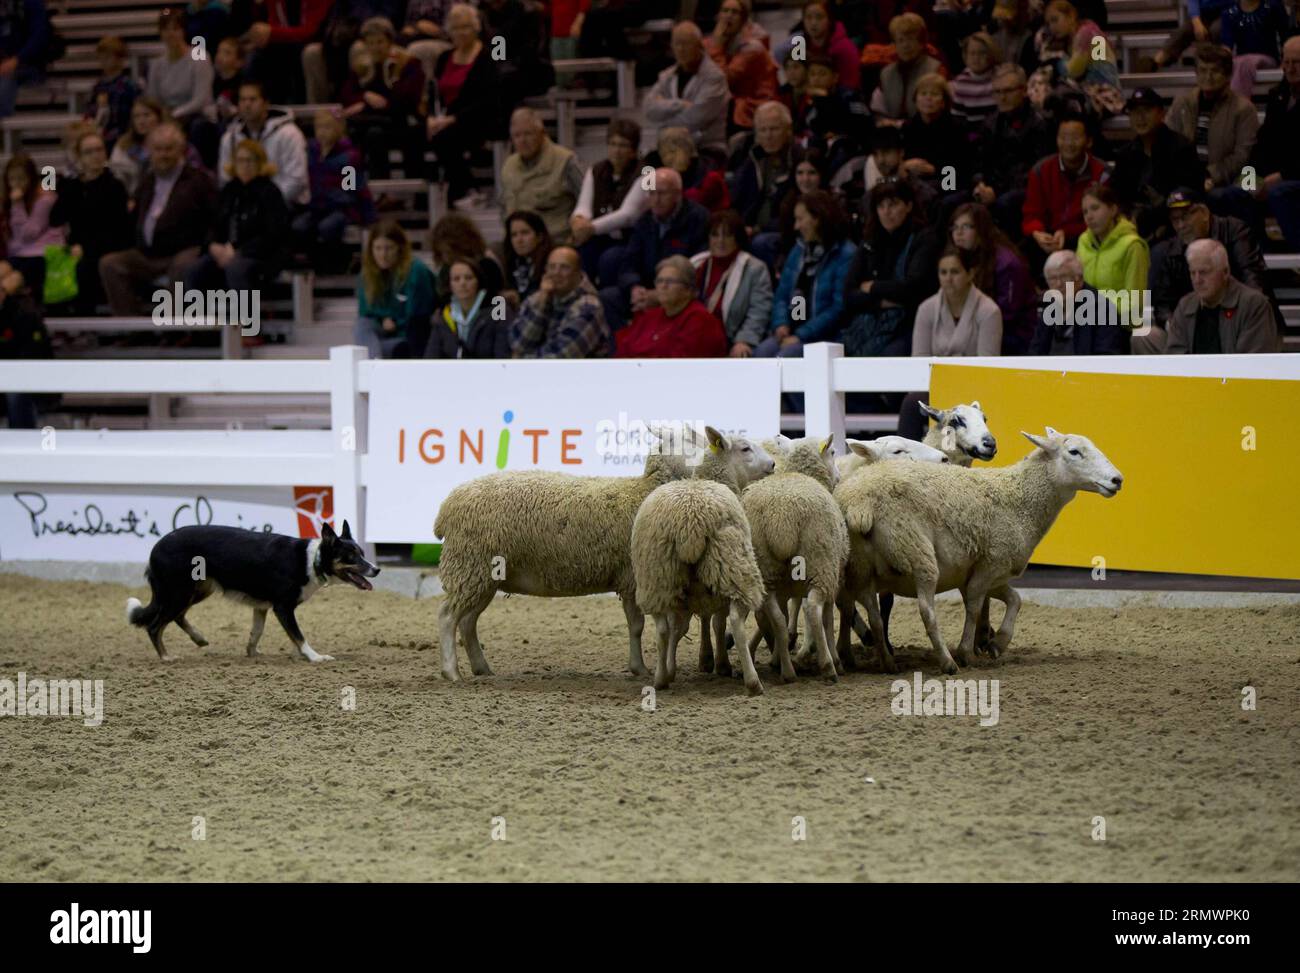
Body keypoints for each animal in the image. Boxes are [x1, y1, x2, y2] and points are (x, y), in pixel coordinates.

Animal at [837, 429, 1123, 671]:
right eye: (1074, 452)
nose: (1117, 479)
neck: (1018, 500)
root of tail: (861, 505)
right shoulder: (991, 563)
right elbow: (974, 606)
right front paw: (967, 651)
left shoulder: (982, 570)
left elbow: (1015, 599)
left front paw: (997, 643)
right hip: (918, 555)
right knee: (926, 611)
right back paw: (947, 662)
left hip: (862, 569)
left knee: (871, 614)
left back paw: (886, 661)